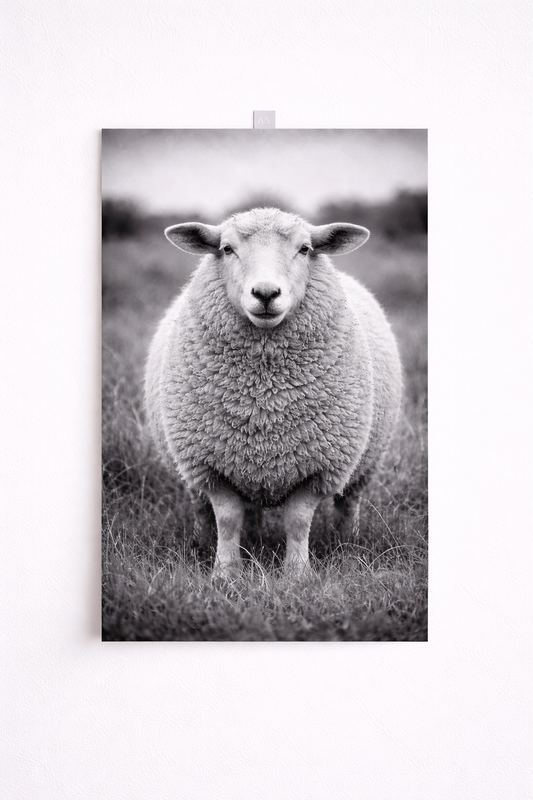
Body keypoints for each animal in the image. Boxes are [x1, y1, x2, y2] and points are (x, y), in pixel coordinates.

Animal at [145, 207, 402, 577]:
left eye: (305, 249)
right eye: (226, 249)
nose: (265, 293)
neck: (265, 397)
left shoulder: (319, 467)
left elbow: (297, 520)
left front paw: (296, 574)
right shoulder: (210, 466)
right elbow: (227, 518)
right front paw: (226, 572)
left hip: (363, 465)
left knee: (348, 504)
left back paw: (348, 545)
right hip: (199, 467)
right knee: (207, 510)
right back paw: (204, 542)